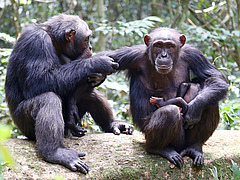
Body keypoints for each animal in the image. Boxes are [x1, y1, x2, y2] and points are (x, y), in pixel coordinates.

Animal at [5, 14, 133, 174]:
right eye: (87, 39)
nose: (90, 47)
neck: (54, 40)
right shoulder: (36, 42)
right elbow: (38, 81)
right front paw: (97, 62)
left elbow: (73, 82)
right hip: (24, 125)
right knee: (48, 99)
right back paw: (55, 152)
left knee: (88, 94)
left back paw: (112, 124)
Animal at [100, 27, 228, 167]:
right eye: (158, 45)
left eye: (170, 46)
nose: (164, 55)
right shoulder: (131, 54)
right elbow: (104, 58)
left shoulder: (194, 54)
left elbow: (215, 78)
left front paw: (195, 107)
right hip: (152, 134)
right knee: (169, 112)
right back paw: (160, 149)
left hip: (185, 141)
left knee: (210, 104)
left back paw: (194, 147)